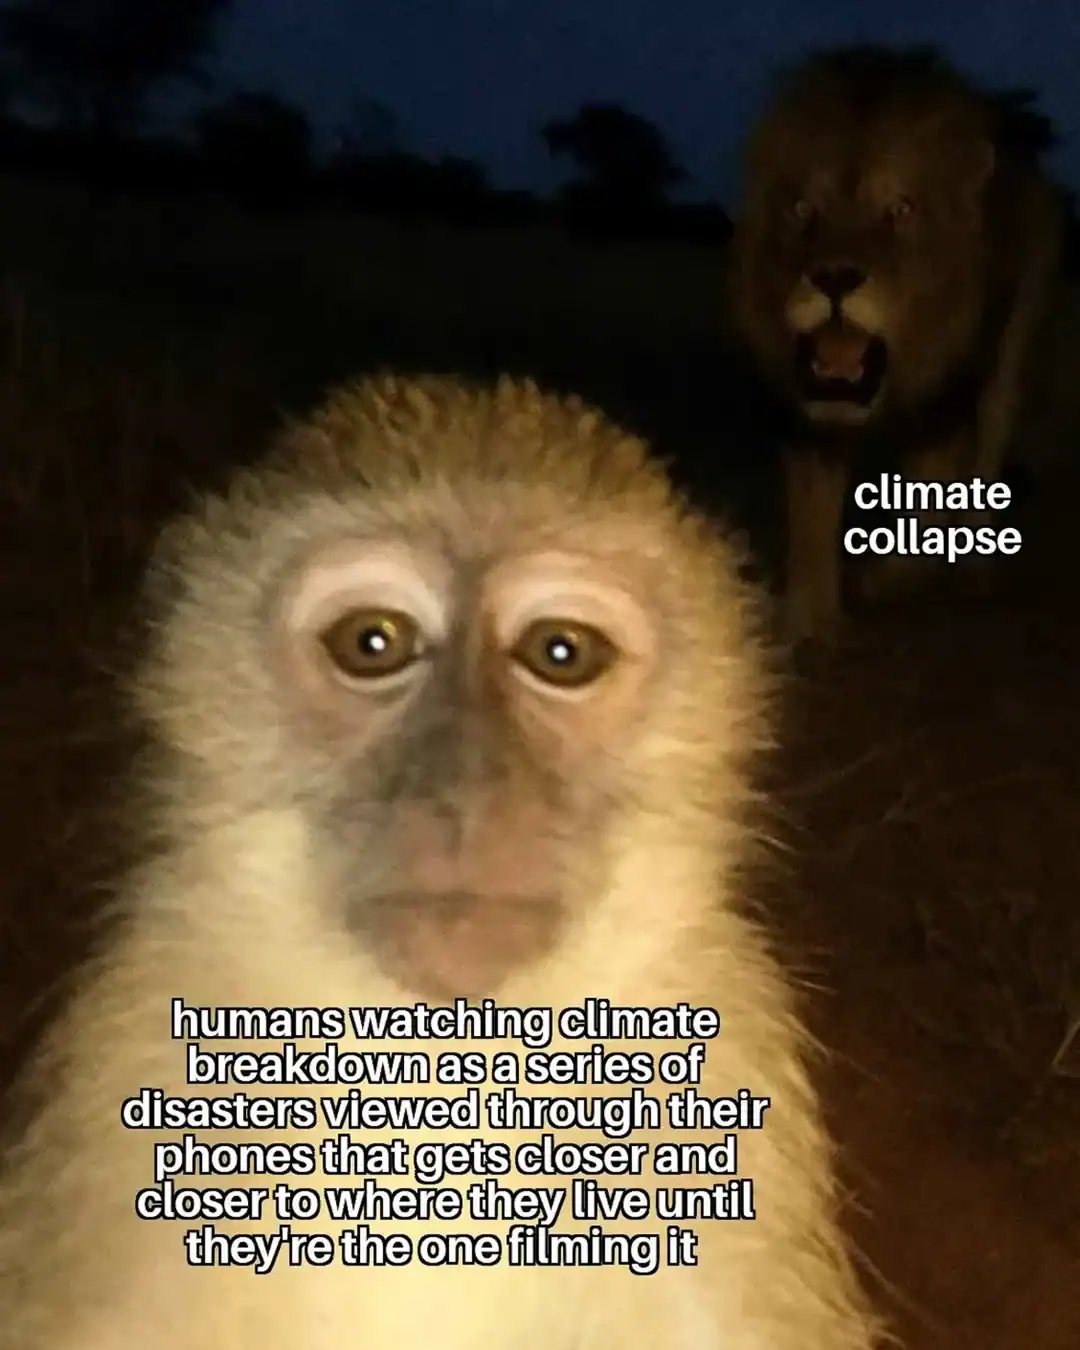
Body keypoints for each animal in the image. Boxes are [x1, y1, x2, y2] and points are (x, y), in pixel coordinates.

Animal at [0, 374, 882, 1350]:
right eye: (373, 642)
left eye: (560, 653)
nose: (469, 791)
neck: (435, 1074)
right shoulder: (131, 1052)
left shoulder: (730, 1060)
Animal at [729, 44, 1064, 649]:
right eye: (802, 209)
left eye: (900, 210)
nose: (835, 277)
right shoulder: (808, 416)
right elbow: (811, 518)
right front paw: (807, 621)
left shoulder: (948, 400)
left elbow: (932, 501)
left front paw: (888, 579)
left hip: (1010, 356)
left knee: (990, 450)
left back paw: (972, 569)